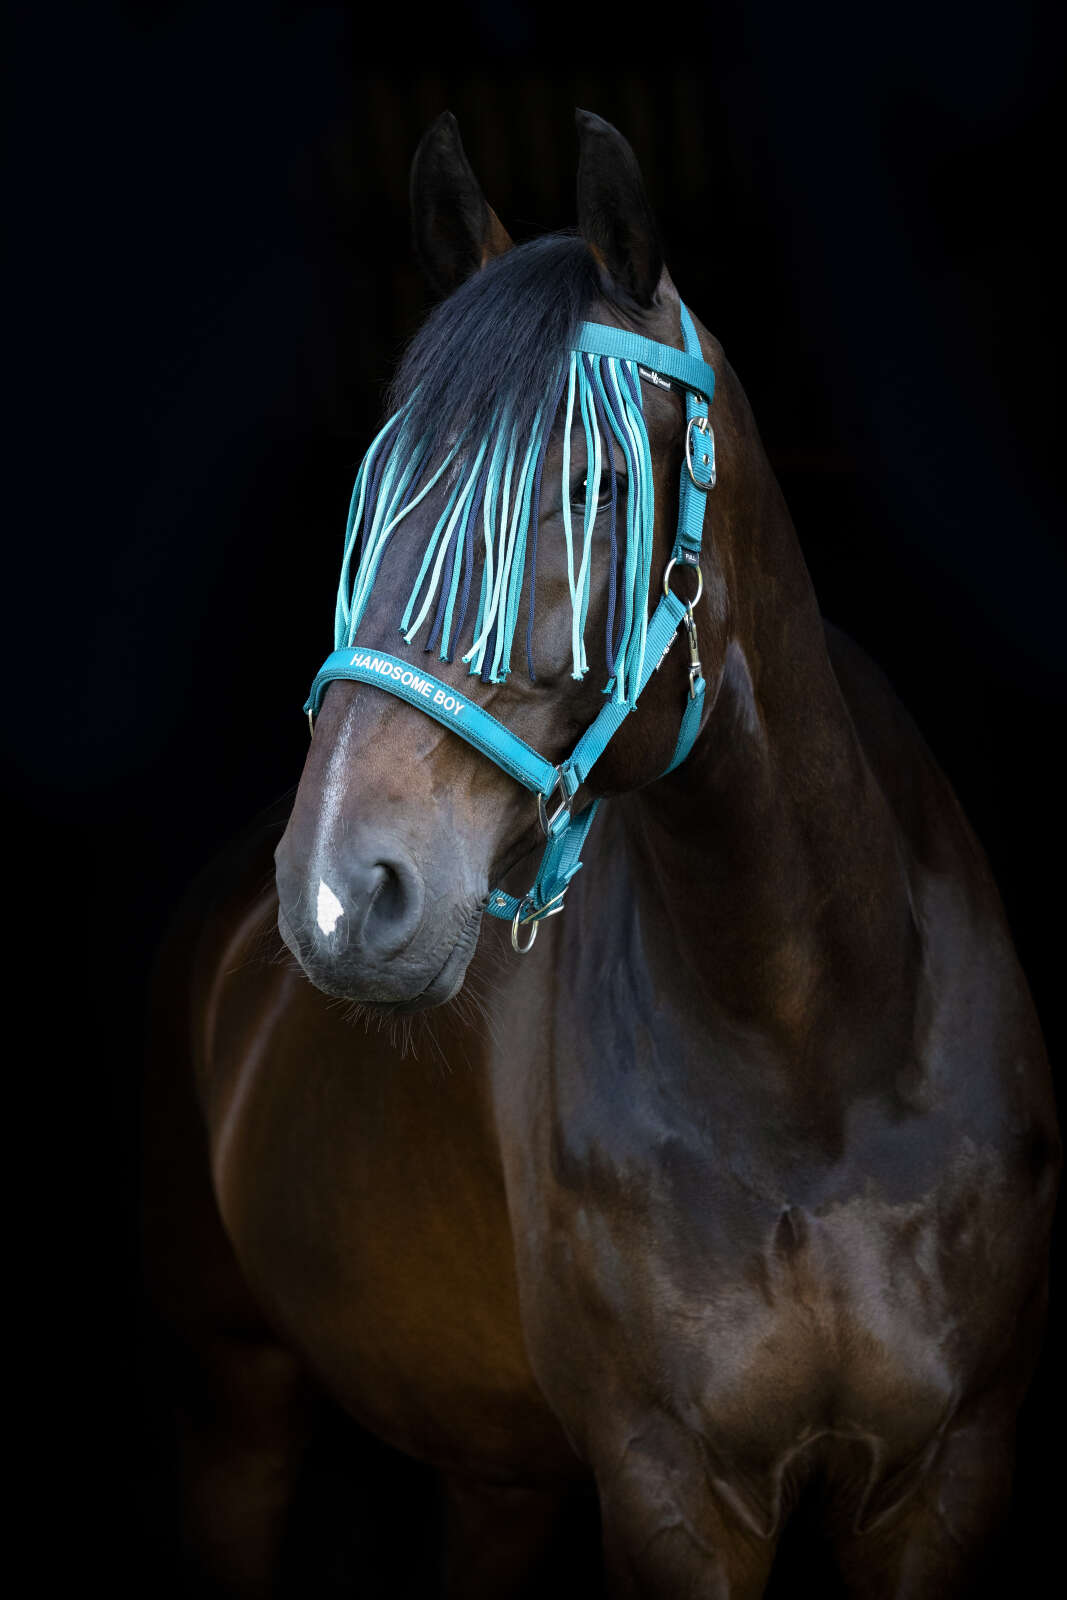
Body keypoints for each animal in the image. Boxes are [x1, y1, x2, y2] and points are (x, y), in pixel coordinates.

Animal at [143, 109, 1059, 1597]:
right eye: (373, 493)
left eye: (592, 483)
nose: (340, 891)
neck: (816, 1050)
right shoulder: (670, 1494)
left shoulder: (944, 1476)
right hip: (236, 1400)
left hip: (494, 1470)